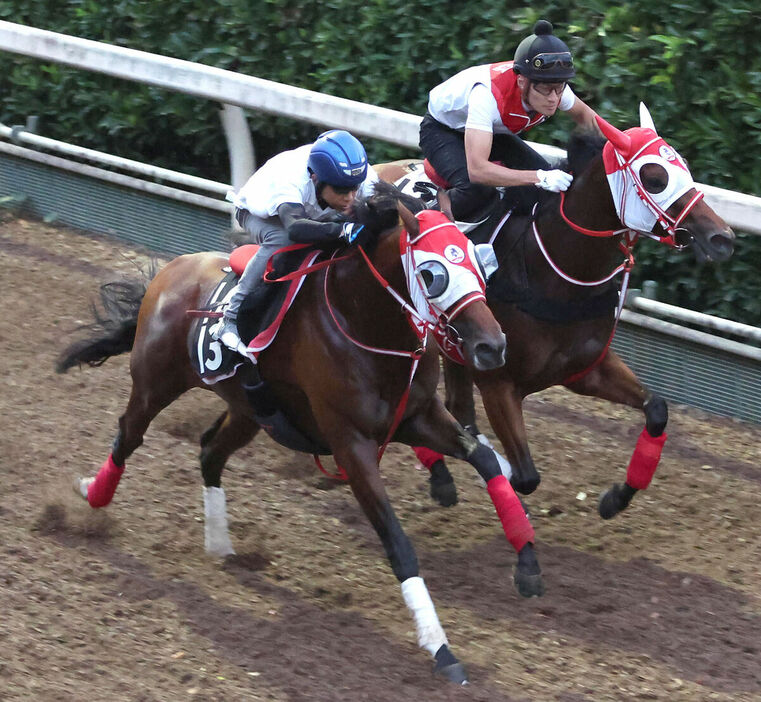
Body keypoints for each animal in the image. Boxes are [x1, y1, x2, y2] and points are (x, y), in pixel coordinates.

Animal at [58, 183, 540, 688]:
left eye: (476, 259)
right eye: (432, 274)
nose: (493, 346)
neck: (362, 319)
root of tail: (171, 270)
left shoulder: (419, 417)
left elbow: (483, 458)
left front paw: (528, 564)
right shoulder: (351, 445)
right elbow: (398, 544)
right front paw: (440, 648)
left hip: (252, 412)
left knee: (210, 451)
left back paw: (220, 544)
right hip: (155, 383)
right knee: (128, 435)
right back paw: (93, 495)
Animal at [378, 107, 732, 532]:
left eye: (685, 166)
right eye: (655, 177)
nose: (722, 237)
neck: (554, 269)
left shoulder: (585, 369)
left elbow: (657, 410)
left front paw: (615, 498)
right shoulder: (499, 384)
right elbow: (525, 475)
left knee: (457, 408)